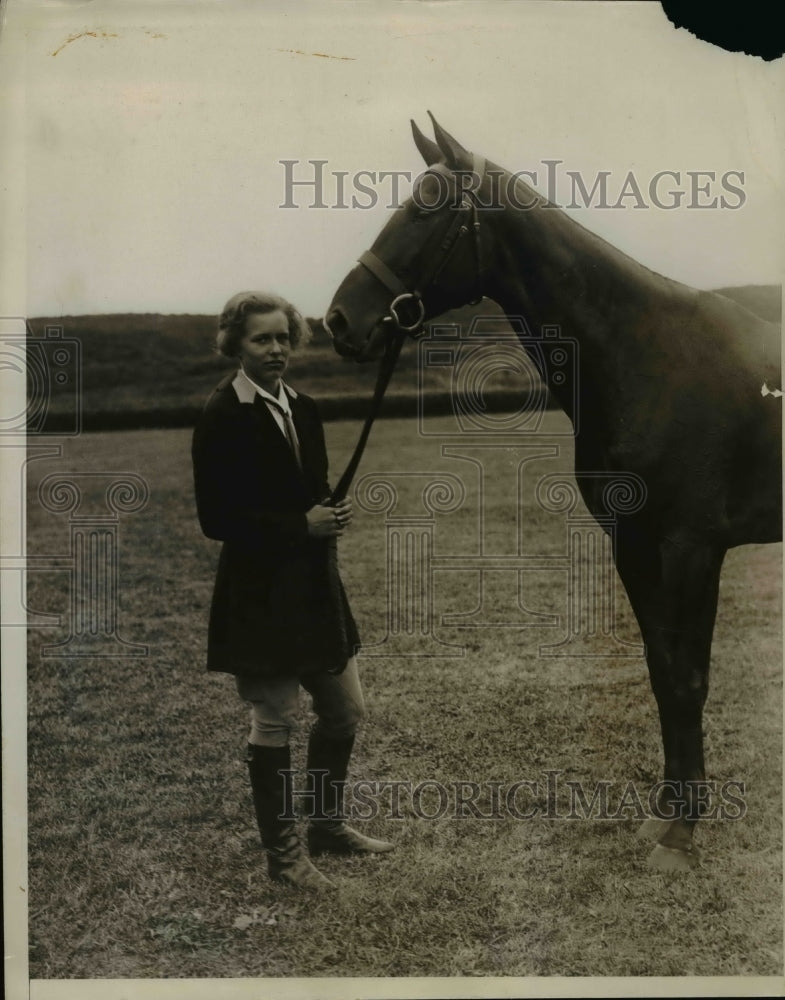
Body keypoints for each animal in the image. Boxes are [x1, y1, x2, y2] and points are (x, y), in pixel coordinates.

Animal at [322, 113, 780, 872]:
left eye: (424, 209)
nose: (338, 321)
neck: (646, 357)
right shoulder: (633, 544)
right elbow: (662, 672)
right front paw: (664, 814)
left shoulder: (691, 547)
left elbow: (689, 676)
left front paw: (682, 833)